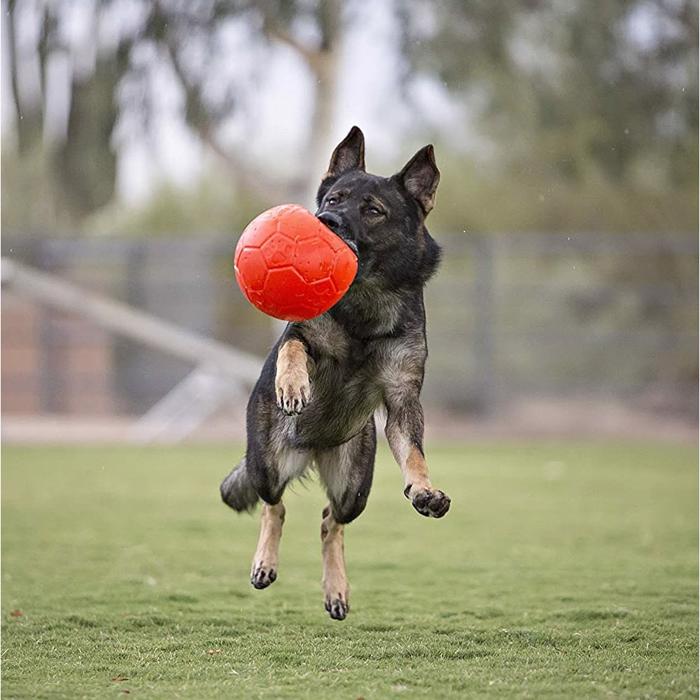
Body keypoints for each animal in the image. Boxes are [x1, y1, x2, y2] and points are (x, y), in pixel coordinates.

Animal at [220, 126, 454, 616]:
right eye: (334, 198)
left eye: (373, 210)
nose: (326, 220)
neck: (365, 303)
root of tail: (312, 449)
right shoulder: (301, 333)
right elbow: (293, 346)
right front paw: (293, 385)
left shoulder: (402, 401)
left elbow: (415, 454)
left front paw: (423, 490)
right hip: (266, 463)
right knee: (274, 506)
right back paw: (264, 562)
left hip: (354, 487)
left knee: (331, 520)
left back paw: (336, 589)